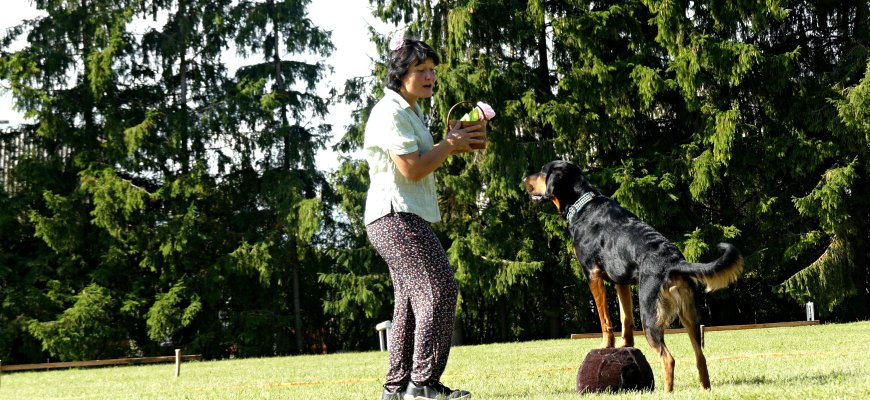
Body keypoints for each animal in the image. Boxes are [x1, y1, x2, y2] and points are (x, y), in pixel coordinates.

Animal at [523, 160, 743, 392]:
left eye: (542, 171)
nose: (524, 180)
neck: (582, 203)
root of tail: (673, 261)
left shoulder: (593, 274)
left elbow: (605, 319)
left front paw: (606, 345)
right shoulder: (621, 281)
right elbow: (625, 317)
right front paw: (625, 345)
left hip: (650, 315)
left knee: (668, 358)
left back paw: (666, 393)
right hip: (690, 317)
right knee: (700, 357)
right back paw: (704, 389)